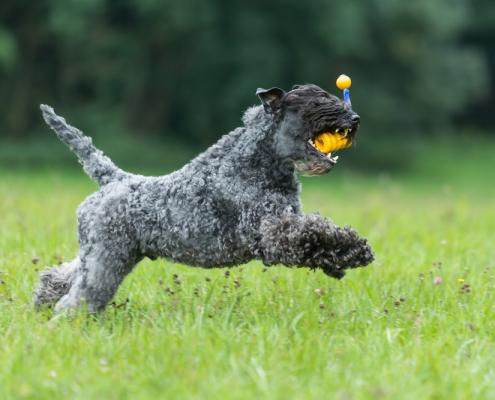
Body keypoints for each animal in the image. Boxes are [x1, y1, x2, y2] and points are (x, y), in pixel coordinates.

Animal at [34, 84, 376, 312]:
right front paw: (355, 249)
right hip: (107, 256)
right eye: (317, 103)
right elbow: (315, 232)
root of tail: (114, 179)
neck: (255, 164)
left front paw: (340, 259)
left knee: (63, 275)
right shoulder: (273, 234)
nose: (355, 118)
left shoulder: (285, 221)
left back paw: (42, 301)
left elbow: (316, 232)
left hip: (106, 252)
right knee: (80, 296)